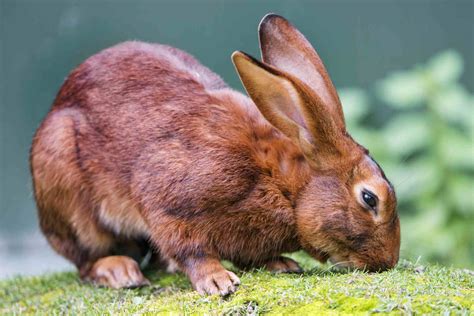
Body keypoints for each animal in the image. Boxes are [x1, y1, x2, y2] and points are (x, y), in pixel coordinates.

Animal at [30, 14, 400, 296]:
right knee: (86, 259)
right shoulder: (168, 199)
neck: (280, 182)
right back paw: (119, 271)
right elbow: (188, 247)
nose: (388, 261)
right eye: (370, 198)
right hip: (68, 195)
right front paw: (218, 282)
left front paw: (280, 264)